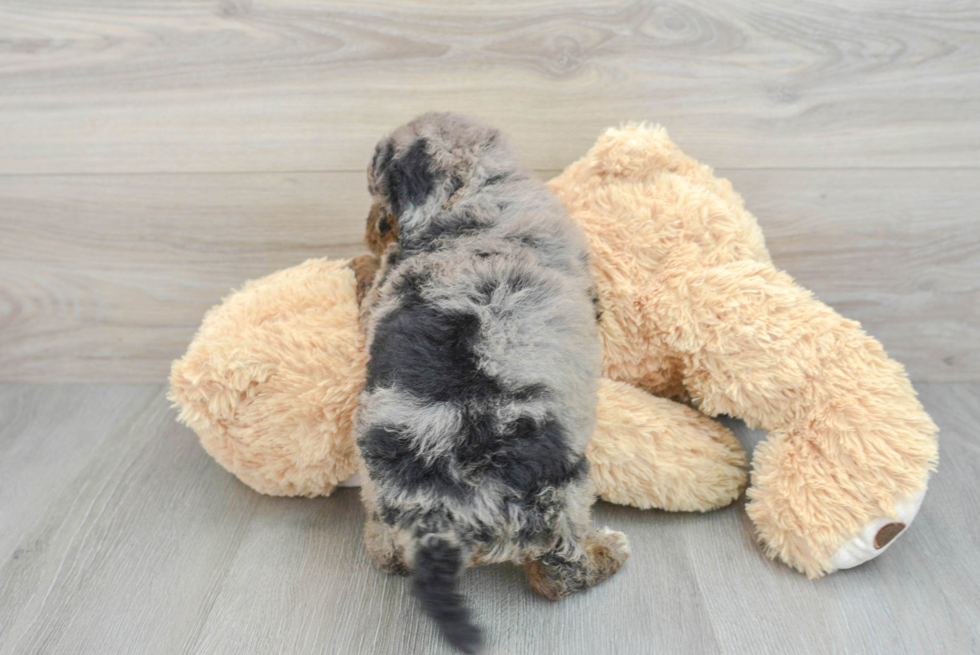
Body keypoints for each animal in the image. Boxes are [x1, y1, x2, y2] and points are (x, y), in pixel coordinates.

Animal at [358, 113, 628, 652]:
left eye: (380, 199)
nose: (368, 233)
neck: (477, 190)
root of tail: (439, 520)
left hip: (376, 491)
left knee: (384, 549)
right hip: (563, 494)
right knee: (557, 575)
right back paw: (608, 553)